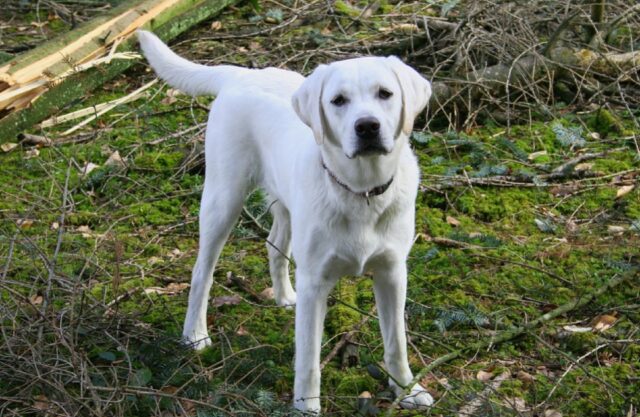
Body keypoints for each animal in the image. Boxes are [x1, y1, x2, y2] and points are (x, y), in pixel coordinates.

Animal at [138, 30, 432, 412]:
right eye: (338, 100)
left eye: (385, 93)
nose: (367, 126)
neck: (361, 192)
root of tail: (241, 73)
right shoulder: (315, 283)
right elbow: (308, 357)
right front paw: (306, 405)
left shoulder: (392, 273)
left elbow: (397, 343)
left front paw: (407, 390)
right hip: (223, 199)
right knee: (203, 270)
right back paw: (195, 334)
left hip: (288, 206)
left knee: (273, 245)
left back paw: (283, 296)